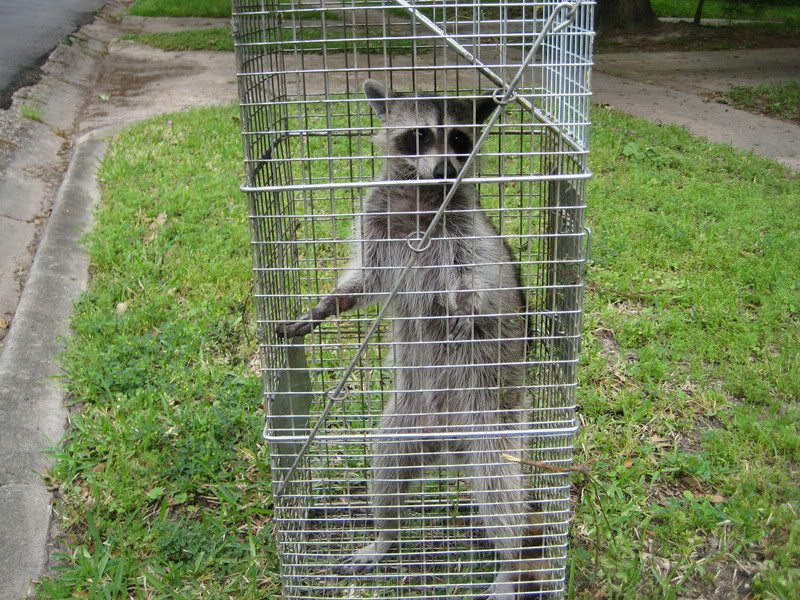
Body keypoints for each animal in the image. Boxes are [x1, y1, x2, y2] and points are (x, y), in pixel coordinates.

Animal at [279, 80, 552, 598]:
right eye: (420, 135)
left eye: (460, 139)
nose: (446, 168)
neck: (424, 195)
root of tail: (446, 442)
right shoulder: (376, 220)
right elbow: (365, 283)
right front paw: (324, 307)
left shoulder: (467, 232)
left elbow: (476, 285)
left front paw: (464, 309)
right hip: (403, 421)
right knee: (386, 468)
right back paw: (385, 534)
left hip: (495, 420)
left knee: (501, 495)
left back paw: (510, 568)